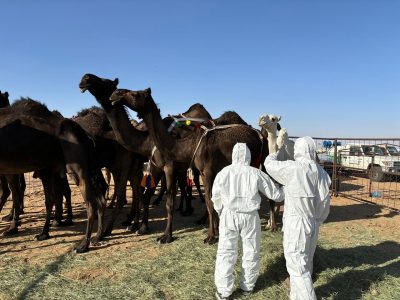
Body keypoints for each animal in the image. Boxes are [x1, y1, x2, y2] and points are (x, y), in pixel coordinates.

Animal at [0, 97, 106, 252]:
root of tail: (85, 135)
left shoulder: (11, 170)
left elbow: (15, 196)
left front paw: (11, 229)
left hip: (76, 166)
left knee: (91, 202)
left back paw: (82, 245)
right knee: (100, 198)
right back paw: (97, 236)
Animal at [108, 86, 264, 244]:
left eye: (135, 94)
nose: (115, 94)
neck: (189, 144)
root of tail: (257, 134)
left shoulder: (203, 170)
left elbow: (206, 201)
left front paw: (208, 237)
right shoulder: (197, 170)